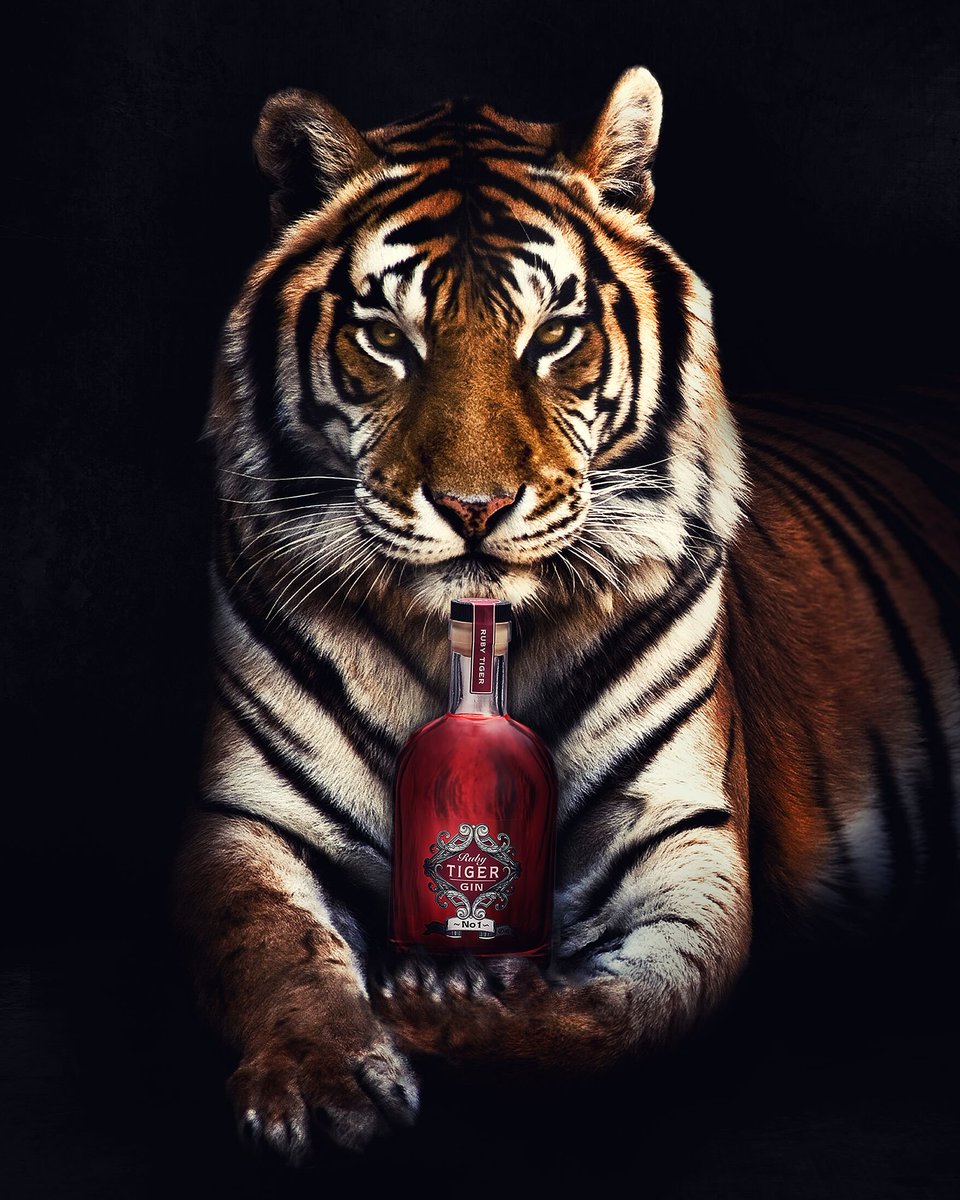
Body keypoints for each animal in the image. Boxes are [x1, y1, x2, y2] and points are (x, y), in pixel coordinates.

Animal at [171, 67, 960, 1163]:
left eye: (552, 336)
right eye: (387, 338)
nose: (474, 508)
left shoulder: (679, 837)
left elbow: (620, 1011)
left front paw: (445, 1011)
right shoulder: (246, 817)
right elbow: (269, 945)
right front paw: (319, 1079)